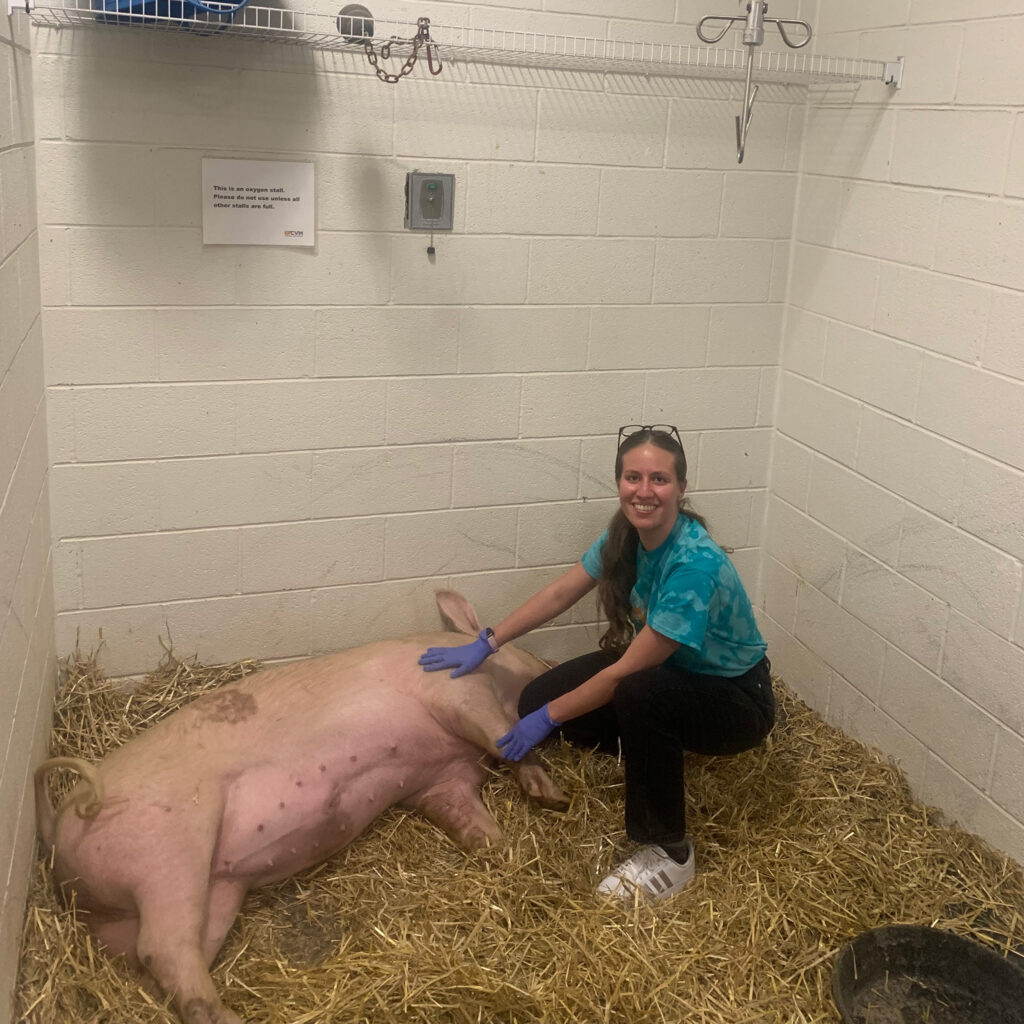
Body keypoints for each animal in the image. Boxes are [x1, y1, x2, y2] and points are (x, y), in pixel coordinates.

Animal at [34, 590, 569, 1024]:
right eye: (532, 649)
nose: (548, 667)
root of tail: (57, 831)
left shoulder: (440, 782)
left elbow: (471, 822)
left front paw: (512, 840)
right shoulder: (457, 694)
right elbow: (502, 737)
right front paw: (553, 793)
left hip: (208, 894)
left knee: (158, 964)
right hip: (167, 849)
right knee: (163, 949)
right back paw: (234, 1018)